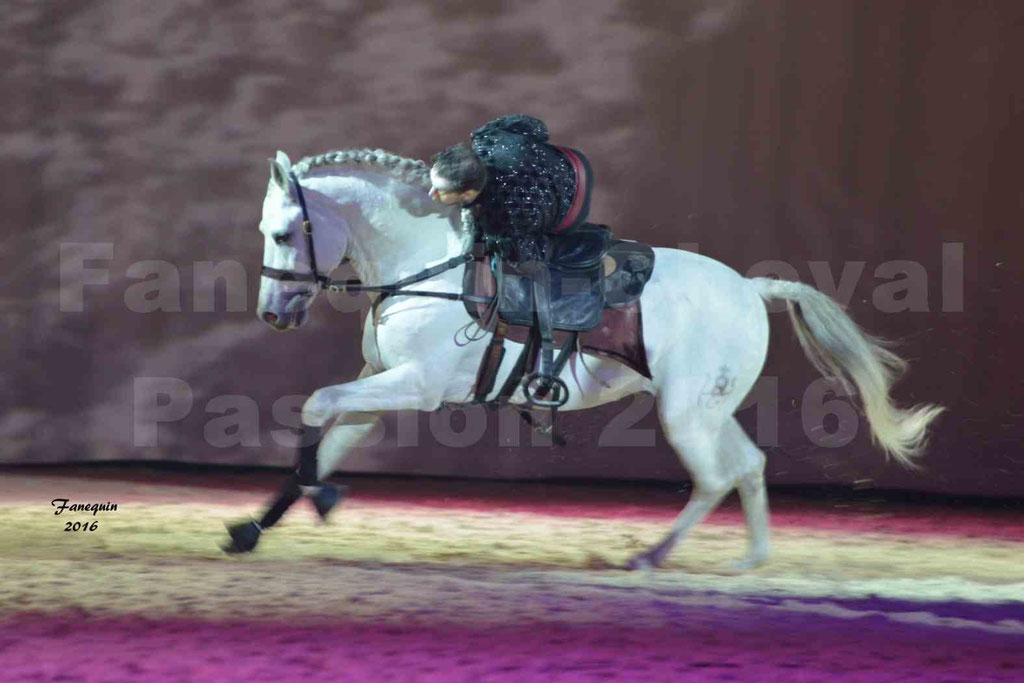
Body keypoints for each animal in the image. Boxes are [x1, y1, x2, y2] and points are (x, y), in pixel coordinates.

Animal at [234, 148, 942, 573]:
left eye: (283, 233)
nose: (274, 312)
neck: (427, 269)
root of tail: (749, 287)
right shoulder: (379, 385)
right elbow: (330, 439)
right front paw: (252, 529)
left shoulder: (414, 386)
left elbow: (315, 409)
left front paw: (322, 498)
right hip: (707, 409)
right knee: (747, 465)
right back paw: (749, 561)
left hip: (686, 414)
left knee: (715, 477)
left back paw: (652, 557)